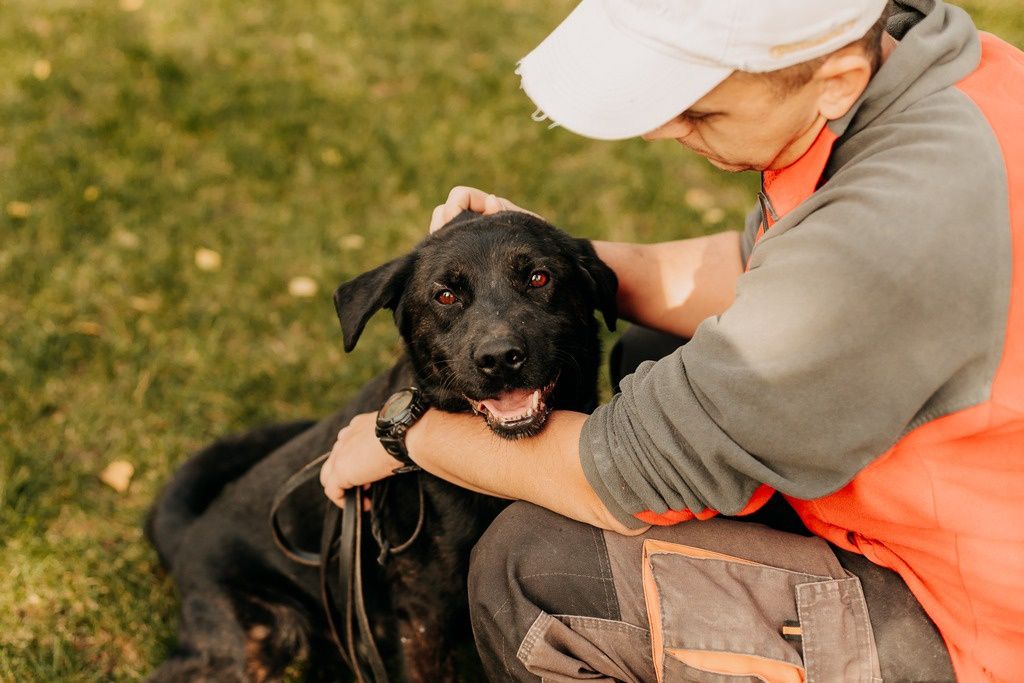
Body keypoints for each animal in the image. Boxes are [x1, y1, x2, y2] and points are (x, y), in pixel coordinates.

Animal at [146, 210, 614, 679]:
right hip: (257, 641)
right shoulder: (425, 617)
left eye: (538, 278)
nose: (499, 358)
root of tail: (187, 536)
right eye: (445, 295)